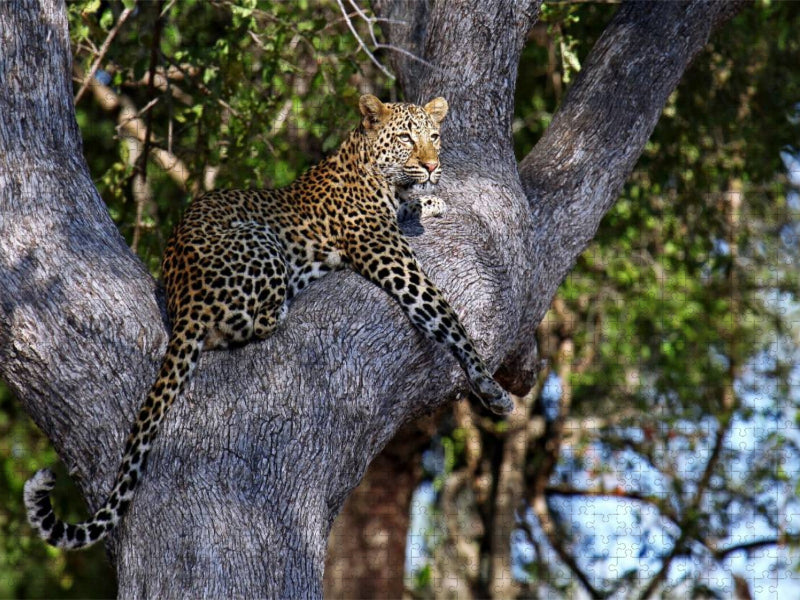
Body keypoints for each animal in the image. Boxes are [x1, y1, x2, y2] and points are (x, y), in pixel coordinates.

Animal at [24, 94, 513, 550]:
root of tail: (184, 302)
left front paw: (431, 199)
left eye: (434, 136)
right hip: (262, 242)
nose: (432, 167)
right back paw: (282, 306)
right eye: (407, 138)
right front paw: (490, 388)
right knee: (250, 324)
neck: (371, 168)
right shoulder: (394, 263)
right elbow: (449, 318)